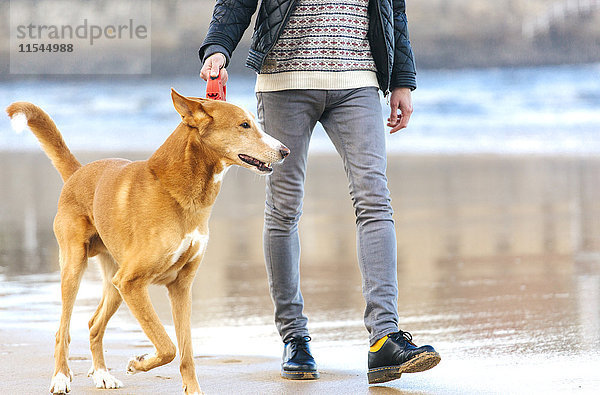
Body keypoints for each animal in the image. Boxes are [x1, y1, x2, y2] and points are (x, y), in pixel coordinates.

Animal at [6, 90, 288, 395]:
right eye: (244, 125)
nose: (286, 151)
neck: (178, 192)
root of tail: (77, 172)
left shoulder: (180, 287)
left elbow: (186, 351)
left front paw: (192, 389)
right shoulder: (132, 282)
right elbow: (167, 345)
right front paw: (138, 362)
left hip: (114, 282)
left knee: (94, 324)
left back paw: (102, 374)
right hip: (75, 266)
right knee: (63, 329)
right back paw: (60, 377)